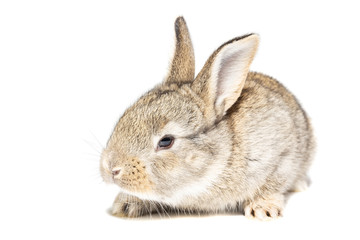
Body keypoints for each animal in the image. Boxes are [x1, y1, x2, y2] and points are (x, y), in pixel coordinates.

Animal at [99, 16, 316, 219]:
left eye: (166, 141)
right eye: (124, 118)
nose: (111, 168)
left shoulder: (281, 156)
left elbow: (272, 183)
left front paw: (263, 209)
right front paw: (125, 205)